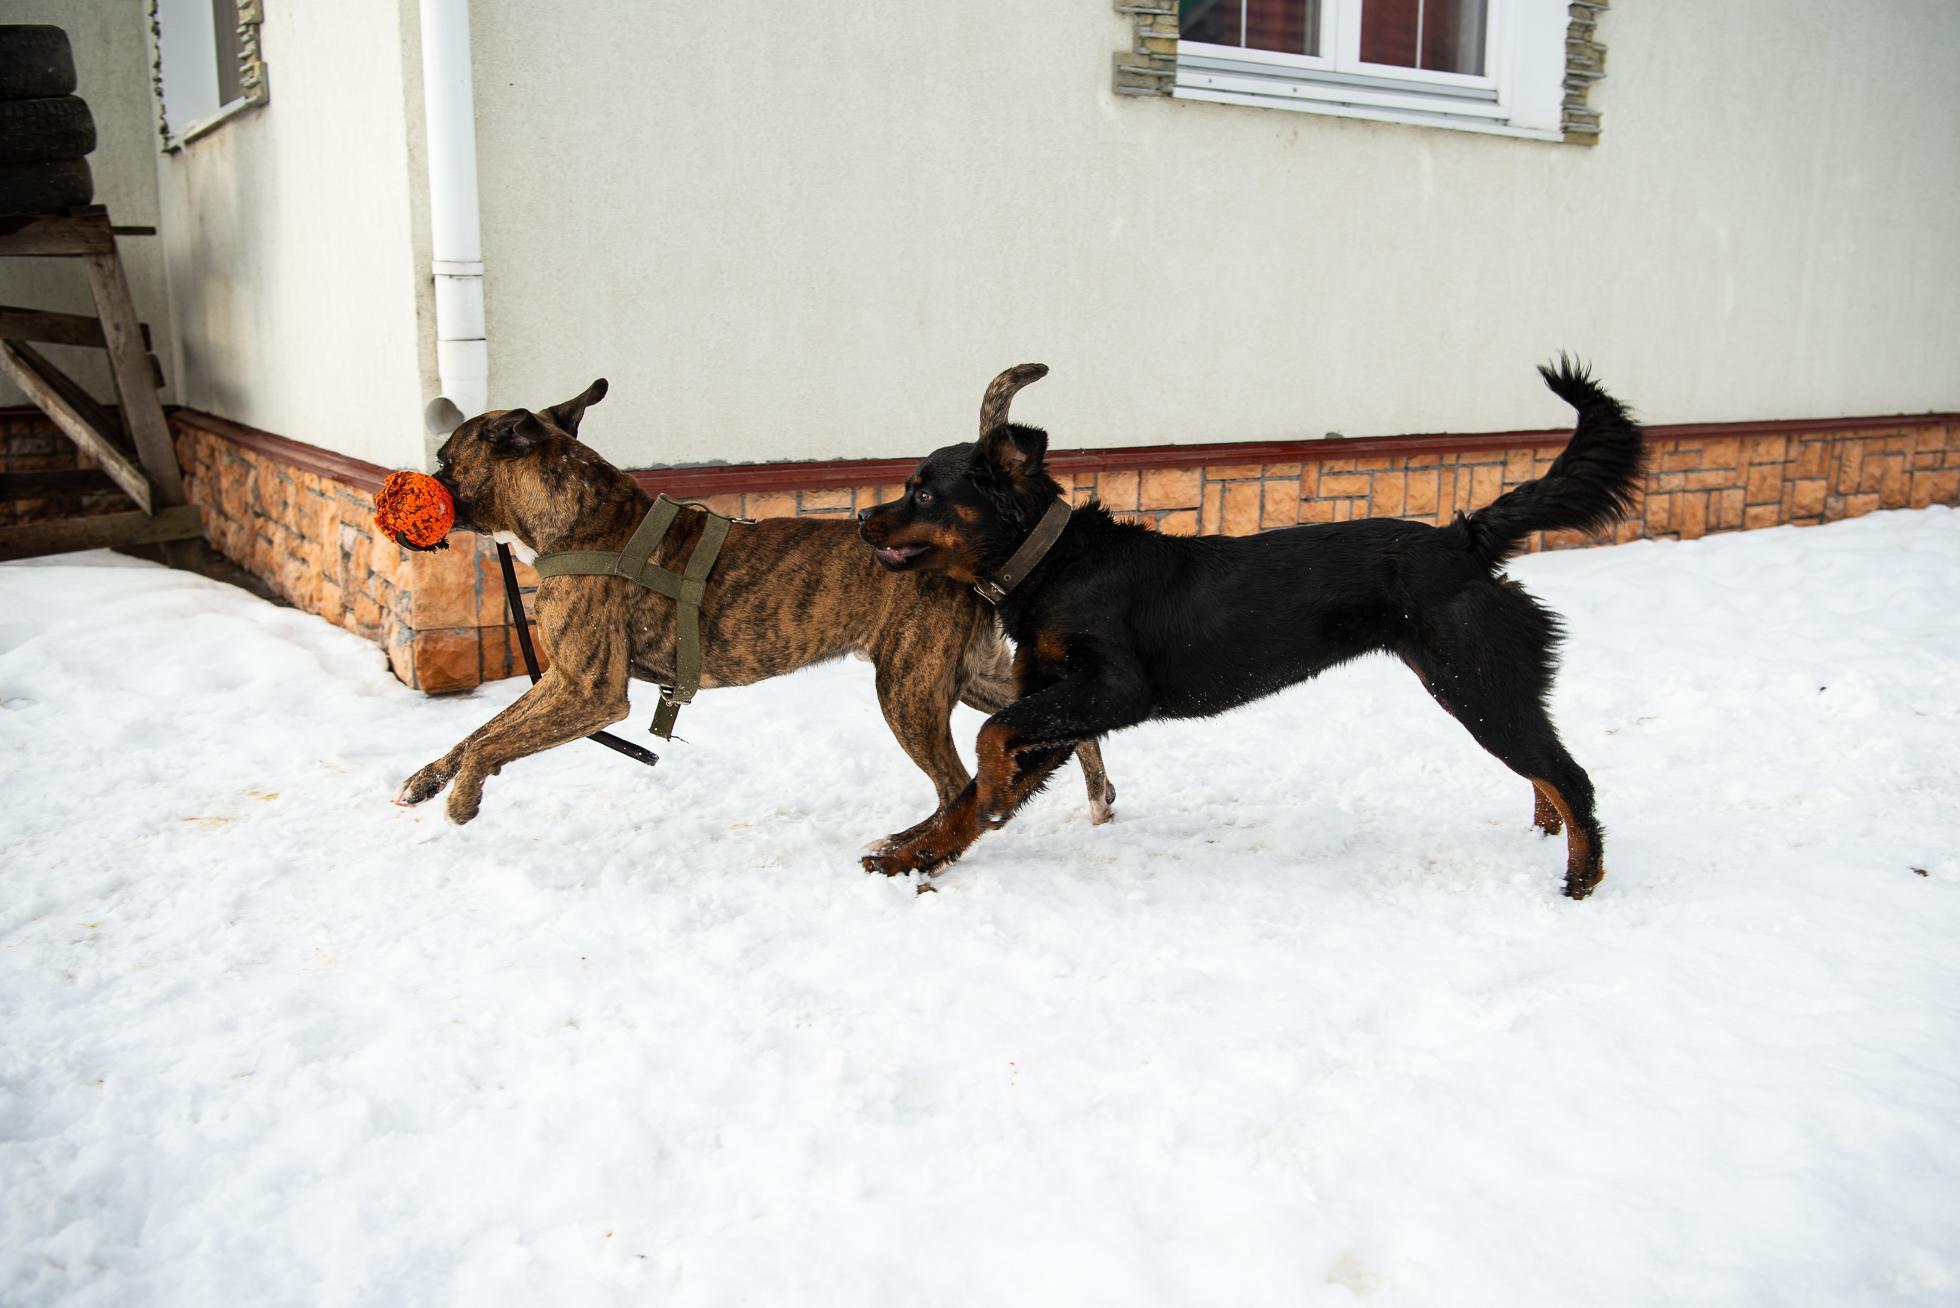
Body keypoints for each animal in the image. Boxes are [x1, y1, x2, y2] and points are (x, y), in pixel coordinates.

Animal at [393, 368, 1121, 851]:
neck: (579, 521)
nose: (419, 485)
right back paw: (1096, 798)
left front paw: (463, 800)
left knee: (954, 784)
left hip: (909, 688)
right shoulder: (562, 682)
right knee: (1060, 726)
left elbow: (493, 741)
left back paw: (919, 846)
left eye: (447, 457)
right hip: (965, 674)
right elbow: (479, 732)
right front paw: (426, 781)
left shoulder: (589, 691)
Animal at [866, 358, 1646, 902]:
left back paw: (1581, 882)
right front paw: (910, 857)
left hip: (1477, 682)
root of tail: (1464, 538)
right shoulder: (1057, 707)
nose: (861, 518)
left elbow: (989, 740)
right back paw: (1546, 837)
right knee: (1546, 773)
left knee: (1570, 777)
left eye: (924, 493)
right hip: (1476, 685)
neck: (1056, 564)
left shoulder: (1112, 689)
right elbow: (965, 799)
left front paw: (990, 802)